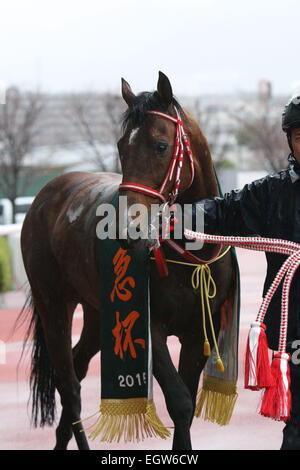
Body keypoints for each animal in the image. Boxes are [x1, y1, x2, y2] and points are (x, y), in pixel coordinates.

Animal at [21, 71, 236, 450]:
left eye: (161, 146)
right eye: (122, 147)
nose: (129, 230)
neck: (192, 254)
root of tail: (46, 194)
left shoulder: (198, 332)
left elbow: (188, 405)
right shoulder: (151, 328)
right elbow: (180, 403)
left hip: (97, 311)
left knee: (77, 365)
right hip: (53, 304)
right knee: (69, 385)